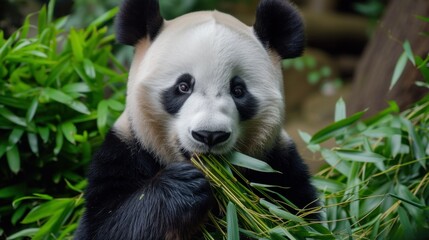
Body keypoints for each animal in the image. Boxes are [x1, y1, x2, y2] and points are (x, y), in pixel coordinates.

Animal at [75, 0, 318, 239]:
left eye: (238, 90)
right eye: (183, 86)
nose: (210, 135)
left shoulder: (278, 165)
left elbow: (302, 219)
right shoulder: (125, 150)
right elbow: (105, 225)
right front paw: (184, 187)